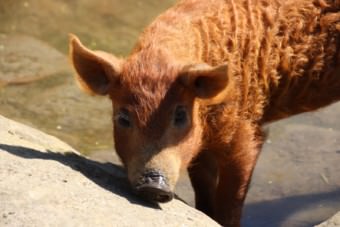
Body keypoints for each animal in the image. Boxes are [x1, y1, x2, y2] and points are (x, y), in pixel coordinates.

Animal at [67, 0, 338, 225]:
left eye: (180, 115)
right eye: (123, 118)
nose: (153, 185)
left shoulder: (245, 134)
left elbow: (231, 200)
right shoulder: (201, 148)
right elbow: (204, 190)